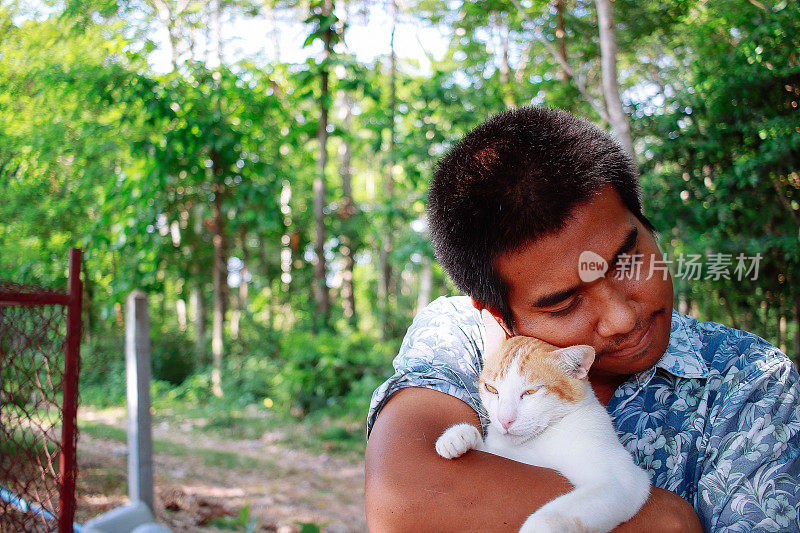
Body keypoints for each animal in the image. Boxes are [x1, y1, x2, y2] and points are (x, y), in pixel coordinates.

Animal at [438, 316, 648, 532]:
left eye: (531, 392)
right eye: (491, 389)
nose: (505, 420)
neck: (538, 440)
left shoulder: (622, 479)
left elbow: (550, 517)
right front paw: (459, 436)